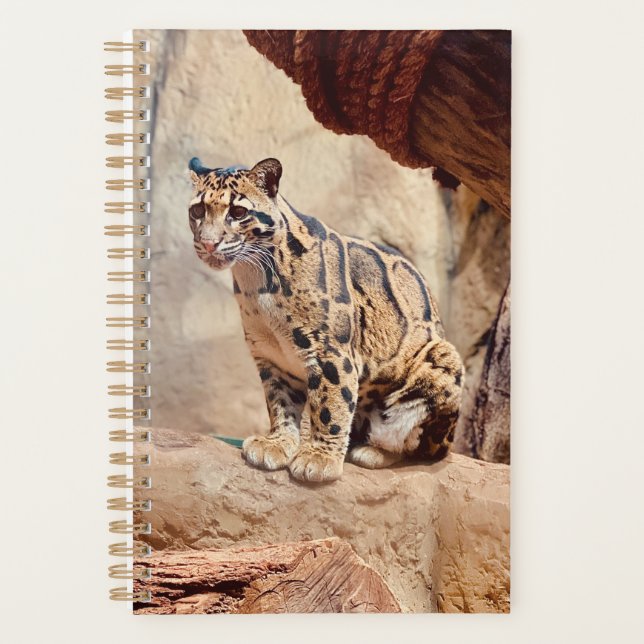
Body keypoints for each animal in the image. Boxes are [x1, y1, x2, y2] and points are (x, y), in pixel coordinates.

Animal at [187, 156, 464, 483]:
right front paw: (278, 443)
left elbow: (331, 405)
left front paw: (319, 458)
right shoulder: (271, 357)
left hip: (443, 360)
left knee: (420, 447)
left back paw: (372, 451)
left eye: (238, 212)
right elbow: (280, 404)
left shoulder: (330, 351)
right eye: (197, 210)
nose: (208, 243)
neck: (255, 279)